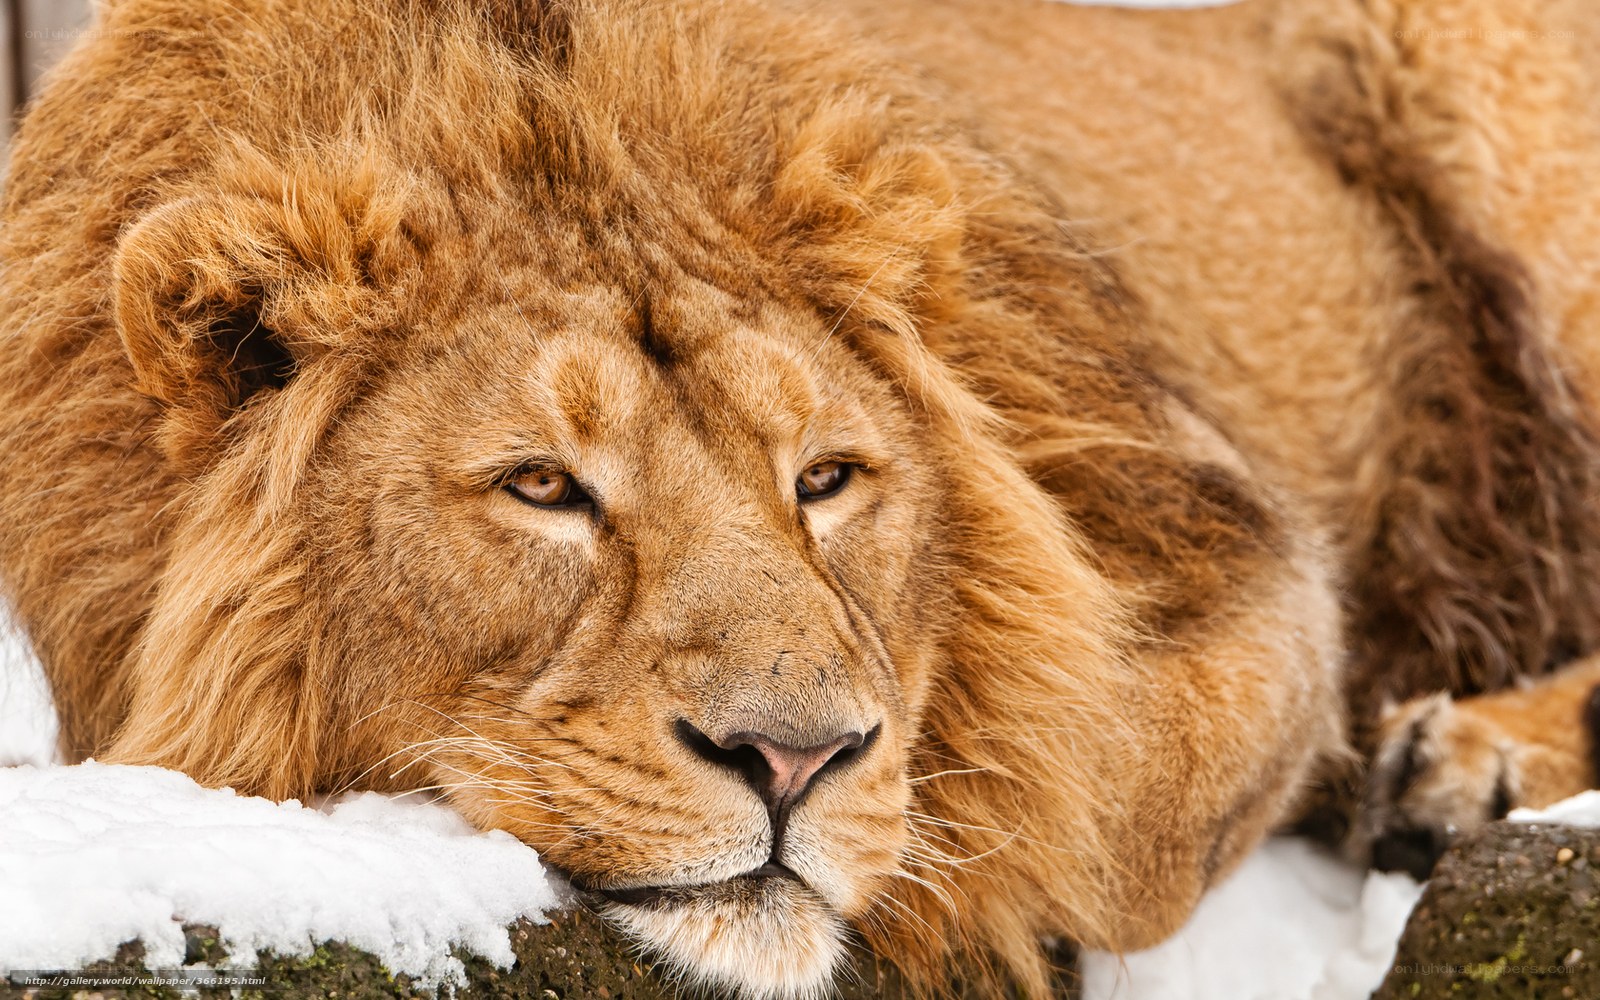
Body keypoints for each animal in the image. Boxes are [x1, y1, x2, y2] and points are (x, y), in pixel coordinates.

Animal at [3, 0, 1599, 995]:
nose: (794, 760)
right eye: (542, 487)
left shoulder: (1218, 524)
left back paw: (1464, 768)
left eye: (825, 479)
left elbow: (1108, 805)